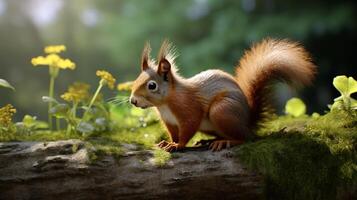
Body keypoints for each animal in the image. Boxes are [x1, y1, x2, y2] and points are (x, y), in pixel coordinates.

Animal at [129, 38, 316, 152]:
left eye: (152, 85)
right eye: (137, 79)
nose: (133, 101)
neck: (166, 103)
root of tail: (247, 122)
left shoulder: (189, 110)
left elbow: (188, 129)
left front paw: (178, 145)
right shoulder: (169, 122)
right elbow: (173, 133)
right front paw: (168, 142)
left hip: (222, 110)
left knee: (245, 138)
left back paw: (226, 142)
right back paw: (209, 141)